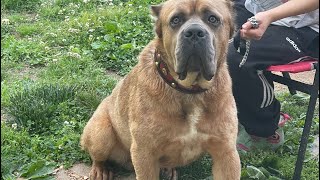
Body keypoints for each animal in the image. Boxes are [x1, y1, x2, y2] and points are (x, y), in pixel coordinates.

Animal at [80, 0, 240, 179]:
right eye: (175, 20)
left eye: (213, 19)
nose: (194, 32)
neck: (190, 90)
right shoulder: (145, 153)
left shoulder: (226, 153)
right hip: (101, 133)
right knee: (98, 156)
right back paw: (100, 170)